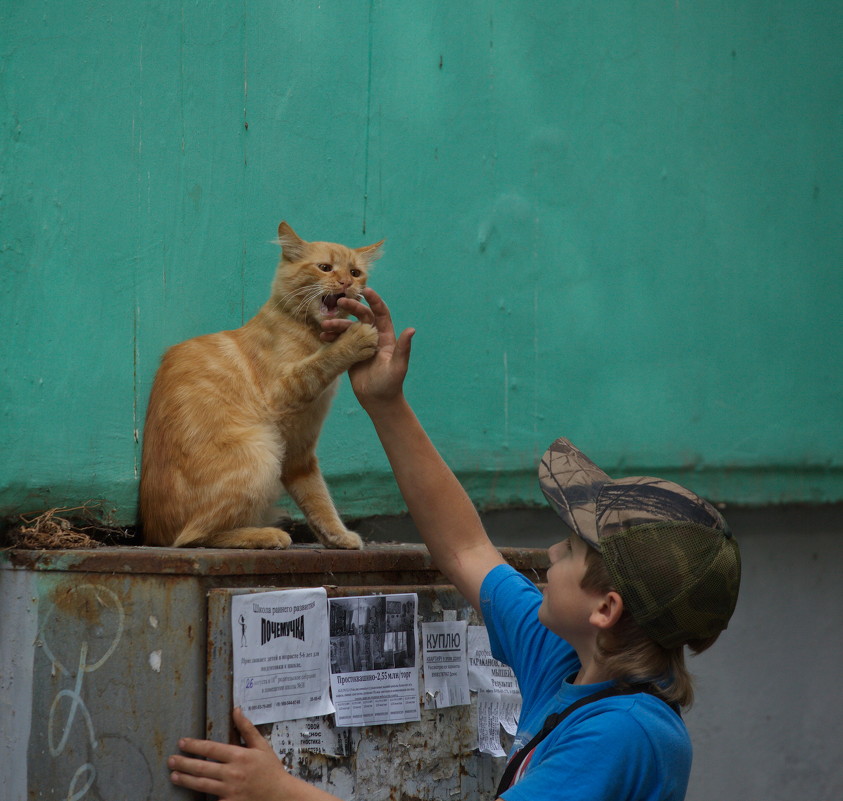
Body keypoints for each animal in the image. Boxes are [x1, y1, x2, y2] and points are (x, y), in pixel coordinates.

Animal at [138, 222, 382, 548]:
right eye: (325, 268)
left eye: (355, 273)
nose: (345, 282)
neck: (312, 333)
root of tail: (155, 536)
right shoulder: (280, 392)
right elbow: (317, 365)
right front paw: (355, 339)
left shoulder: (299, 452)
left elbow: (318, 498)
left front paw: (337, 536)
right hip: (261, 451)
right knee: (192, 537)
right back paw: (265, 534)